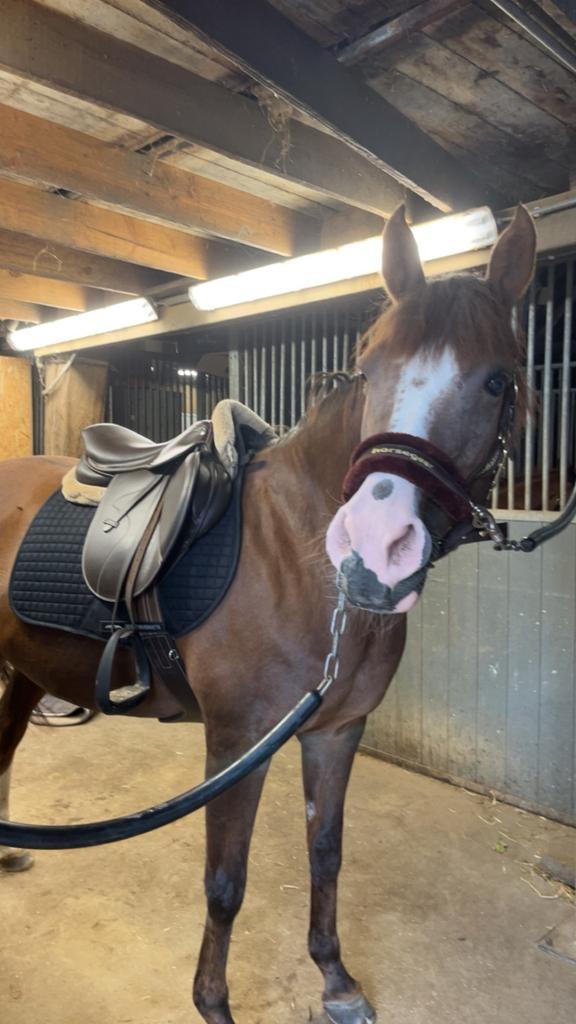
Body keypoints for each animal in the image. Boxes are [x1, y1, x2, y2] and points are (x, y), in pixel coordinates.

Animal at [0, 205, 536, 1024]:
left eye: (496, 379)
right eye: (368, 369)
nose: (373, 549)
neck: (301, 562)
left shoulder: (337, 730)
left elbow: (327, 853)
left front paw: (336, 980)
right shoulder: (236, 742)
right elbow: (226, 883)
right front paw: (213, 1003)